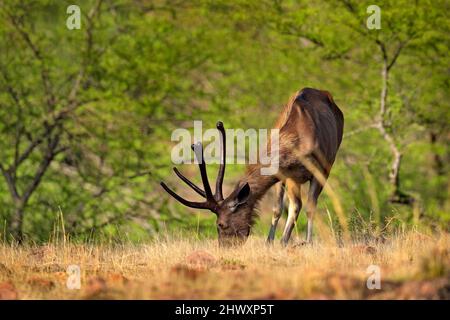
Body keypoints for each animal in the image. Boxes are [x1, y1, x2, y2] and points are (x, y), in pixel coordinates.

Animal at [160, 88, 342, 248]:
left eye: (220, 224)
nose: (224, 247)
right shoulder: (283, 174)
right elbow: (279, 208)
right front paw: (271, 242)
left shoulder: (320, 169)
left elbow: (306, 207)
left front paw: (303, 242)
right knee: (286, 207)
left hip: (329, 161)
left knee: (304, 204)